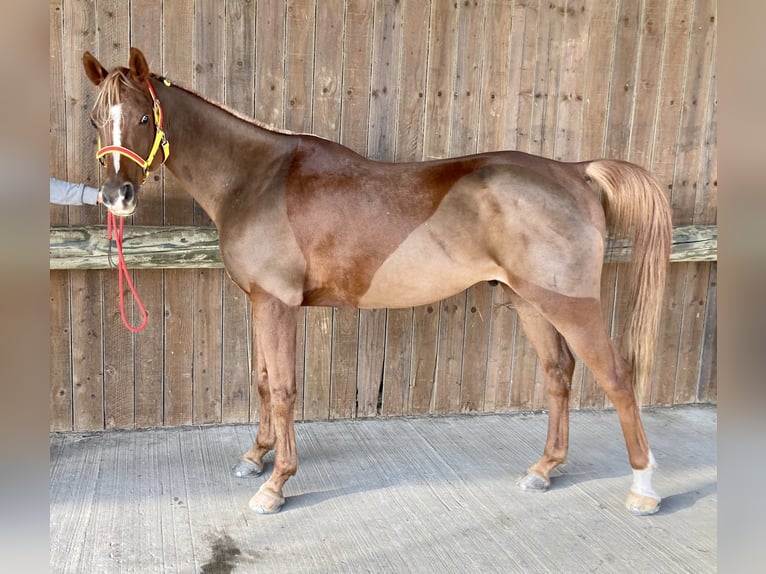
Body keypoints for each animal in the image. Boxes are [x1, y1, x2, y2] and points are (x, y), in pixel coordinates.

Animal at [84, 48, 672, 516]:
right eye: (95, 120)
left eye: (143, 116)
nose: (116, 197)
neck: (256, 178)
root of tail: (575, 172)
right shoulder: (258, 302)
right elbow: (262, 380)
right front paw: (256, 457)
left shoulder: (278, 304)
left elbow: (283, 388)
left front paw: (276, 485)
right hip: (530, 301)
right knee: (558, 373)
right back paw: (544, 469)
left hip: (570, 305)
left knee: (617, 376)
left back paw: (643, 488)